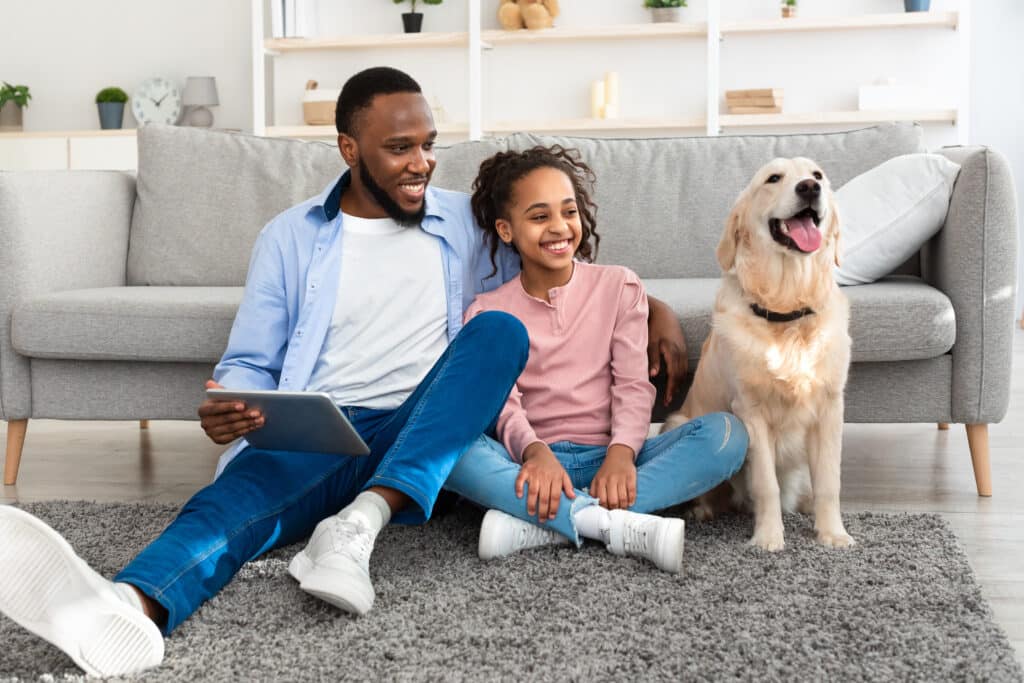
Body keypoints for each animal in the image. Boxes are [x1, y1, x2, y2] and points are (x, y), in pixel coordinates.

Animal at [659, 157, 851, 552]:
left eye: (818, 174)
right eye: (773, 178)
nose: (809, 187)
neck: (787, 309)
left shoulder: (830, 406)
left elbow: (829, 481)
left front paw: (832, 533)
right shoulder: (751, 411)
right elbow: (766, 484)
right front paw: (768, 538)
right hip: (677, 420)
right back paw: (702, 510)